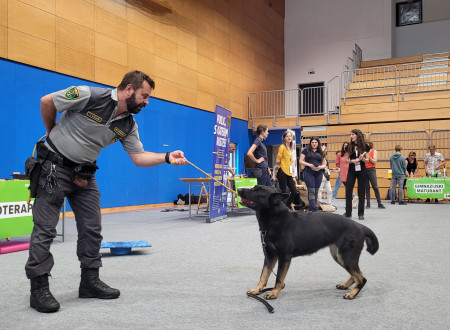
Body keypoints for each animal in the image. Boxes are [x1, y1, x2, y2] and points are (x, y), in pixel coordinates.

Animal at [239, 186, 380, 300]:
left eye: (256, 191)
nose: (239, 189)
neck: (274, 219)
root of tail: (360, 226)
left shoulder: (284, 258)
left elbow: (279, 278)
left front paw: (274, 292)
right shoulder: (269, 256)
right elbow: (263, 275)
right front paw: (257, 290)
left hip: (345, 257)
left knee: (362, 278)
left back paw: (353, 293)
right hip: (339, 256)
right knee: (356, 275)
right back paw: (346, 285)